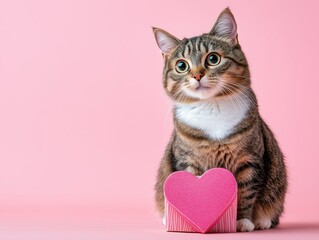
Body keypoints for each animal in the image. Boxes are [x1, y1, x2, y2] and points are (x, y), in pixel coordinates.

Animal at [152, 7, 288, 232]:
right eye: (181, 65)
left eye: (213, 59)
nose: (197, 75)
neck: (211, 107)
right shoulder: (187, 161)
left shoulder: (249, 160)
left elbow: (245, 192)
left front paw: (242, 221)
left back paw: (263, 220)